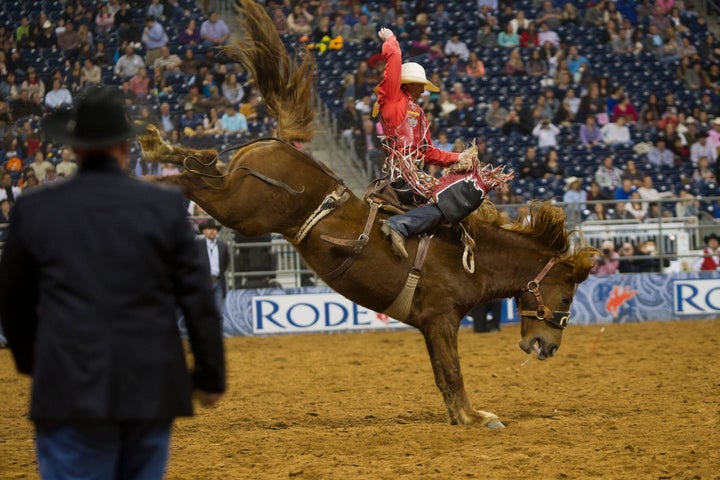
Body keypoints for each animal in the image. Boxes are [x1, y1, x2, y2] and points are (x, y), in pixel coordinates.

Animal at [138, 0, 592, 428]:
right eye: (566, 295)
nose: (547, 347)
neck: (472, 259)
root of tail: (282, 143)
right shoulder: (441, 318)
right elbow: (452, 372)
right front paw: (474, 417)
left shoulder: (432, 324)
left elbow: (443, 376)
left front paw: (463, 415)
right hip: (243, 208)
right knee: (193, 181)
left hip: (236, 192)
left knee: (202, 163)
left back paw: (158, 146)